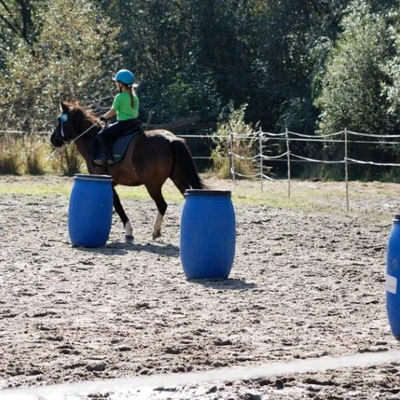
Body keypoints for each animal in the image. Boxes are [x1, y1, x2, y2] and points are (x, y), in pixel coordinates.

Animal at [50, 101, 206, 241]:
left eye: (59, 120)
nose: (53, 139)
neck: (92, 140)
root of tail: (170, 139)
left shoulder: (104, 181)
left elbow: (118, 205)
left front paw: (129, 232)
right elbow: (116, 204)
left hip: (153, 185)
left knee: (162, 204)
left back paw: (155, 231)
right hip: (178, 179)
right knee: (187, 197)